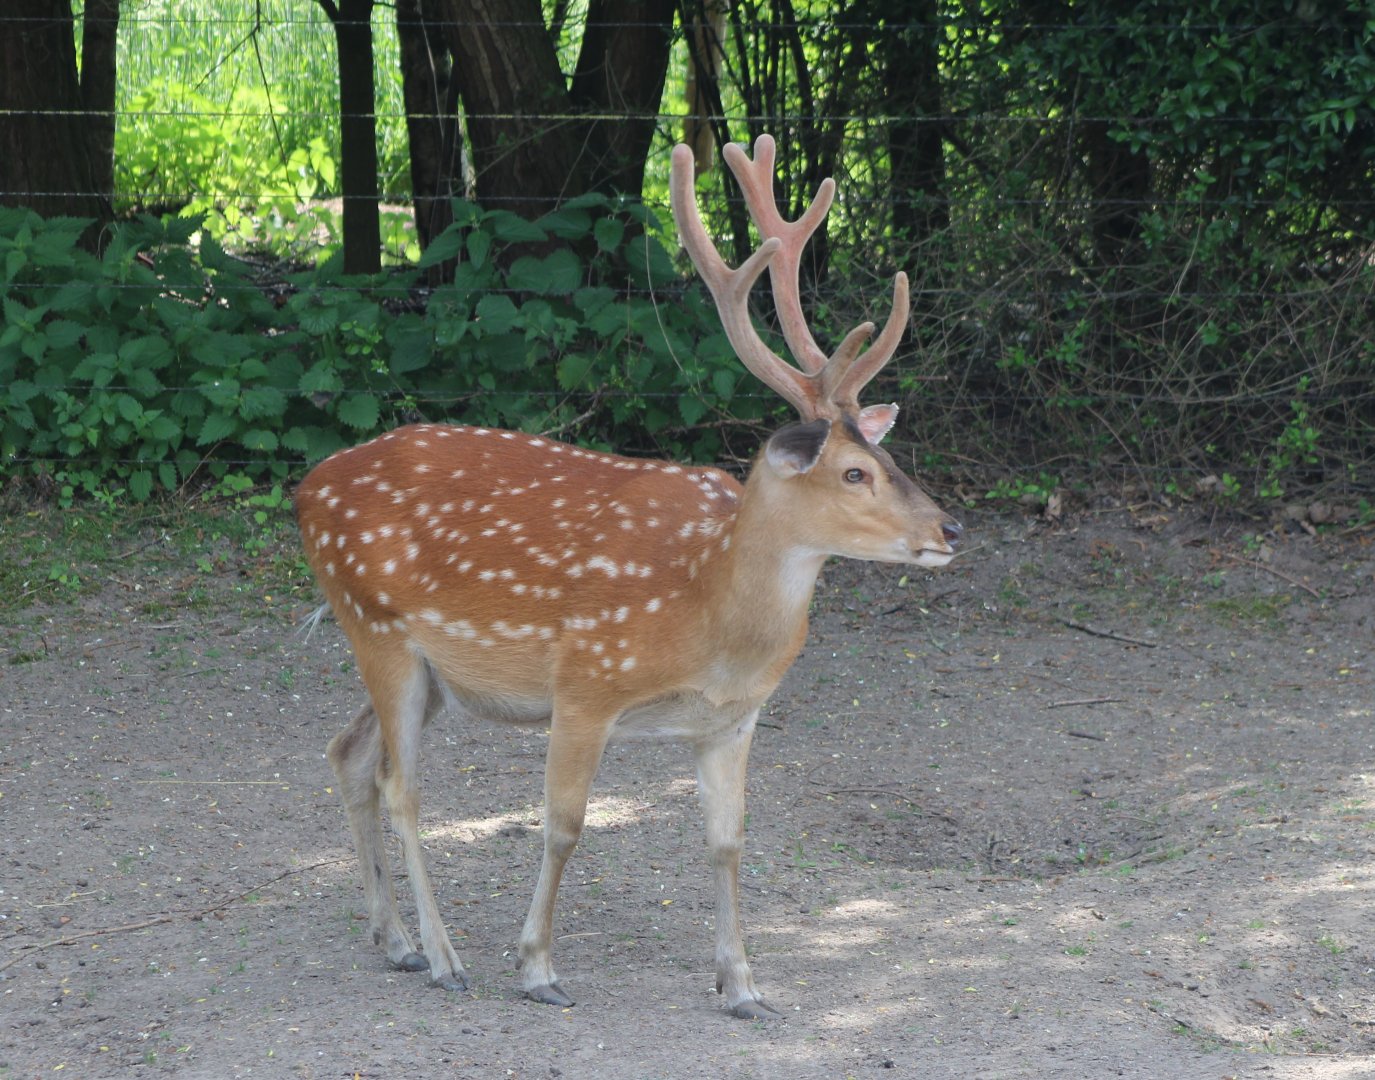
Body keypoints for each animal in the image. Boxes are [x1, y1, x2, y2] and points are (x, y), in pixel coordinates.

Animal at [294, 134, 963, 1019]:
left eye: (891, 457)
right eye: (853, 472)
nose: (949, 530)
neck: (707, 614)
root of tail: (305, 490)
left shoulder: (732, 720)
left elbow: (726, 839)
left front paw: (742, 986)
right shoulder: (585, 682)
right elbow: (564, 824)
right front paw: (537, 967)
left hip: (424, 666)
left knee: (346, 753)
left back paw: (395, 940)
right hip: (377, 627)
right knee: (402, 786)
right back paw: (443, 956)